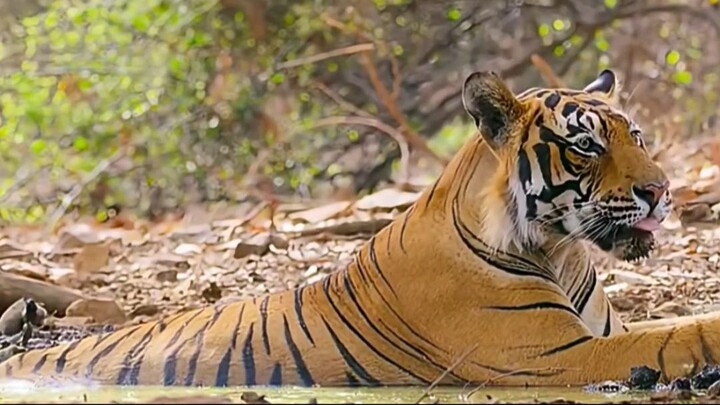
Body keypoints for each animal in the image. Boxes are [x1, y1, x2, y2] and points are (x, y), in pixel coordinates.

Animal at [1, 69, 719, 389]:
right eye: (586, 147)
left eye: (637, 135)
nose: (662, 191)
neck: (561, 252)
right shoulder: (556, 355)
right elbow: (679, 335)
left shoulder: (600, 334)